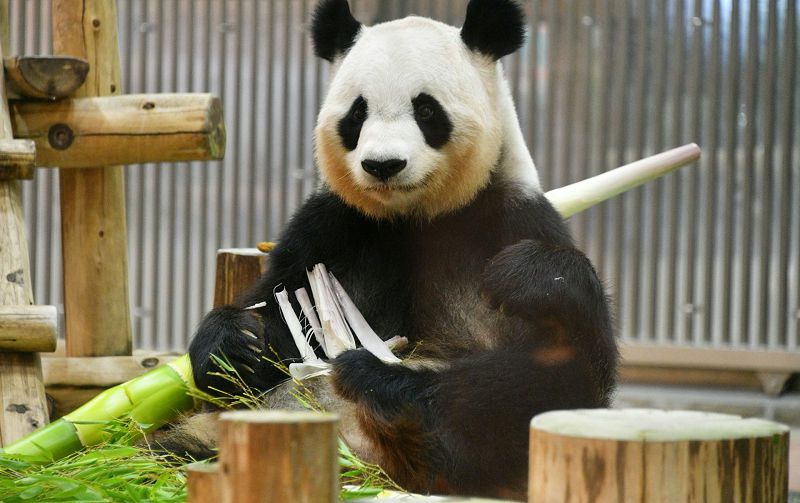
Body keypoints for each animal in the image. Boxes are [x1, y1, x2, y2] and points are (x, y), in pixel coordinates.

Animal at [185, 0, 617, 499]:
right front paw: (235, 343)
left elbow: (567, 374)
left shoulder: (508, 216)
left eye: (426, 110)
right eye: (357, 114)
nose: (383, 165)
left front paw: (523, 277)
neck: (417, 214)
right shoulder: (333, 227)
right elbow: (278, 312)